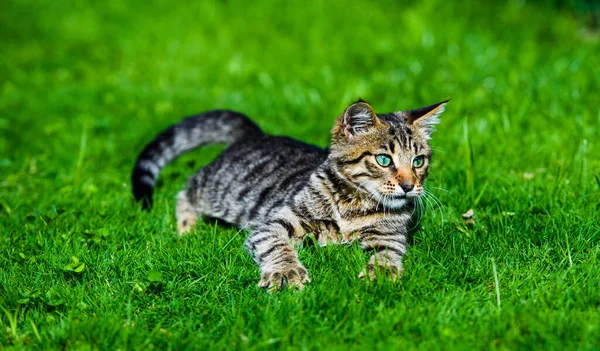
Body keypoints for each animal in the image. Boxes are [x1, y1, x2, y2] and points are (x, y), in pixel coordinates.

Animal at [134, 99, 448, 292]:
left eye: (418, 161)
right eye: (384, 160)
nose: (408, 185)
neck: (354, 205)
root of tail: (255, 134)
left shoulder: (389, 234)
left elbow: (388, 253)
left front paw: (382, 272)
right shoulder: (272, 224)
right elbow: (277, 245)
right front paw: (286, 272)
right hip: (215, 188)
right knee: (185, 192)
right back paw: (187, 227)